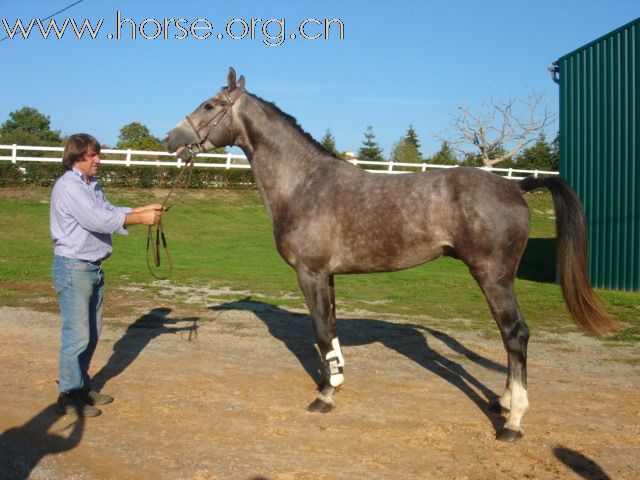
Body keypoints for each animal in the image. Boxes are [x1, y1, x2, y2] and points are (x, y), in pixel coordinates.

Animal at [166, 68, 616, 442]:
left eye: (209, 105)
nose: (170, 140)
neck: (304, 184)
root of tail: (515, 185)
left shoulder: (310, 273)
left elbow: (320, 333)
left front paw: (324, 397)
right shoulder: (328, 276)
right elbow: (330, 333)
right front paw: (334, 384)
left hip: (494, 277)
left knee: (515, 335)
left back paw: (513, 422)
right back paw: (502, 402)